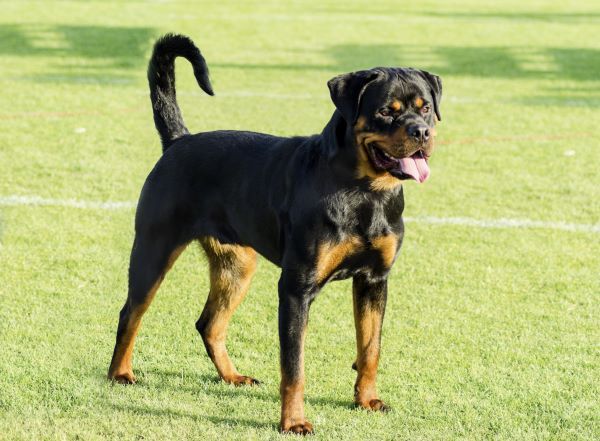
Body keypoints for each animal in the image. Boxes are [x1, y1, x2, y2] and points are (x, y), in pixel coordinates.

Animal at [108, 33, 440, 434]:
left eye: (425, 108)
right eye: (387, 111)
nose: (422, 132)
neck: (363, 191)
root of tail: (178, 141)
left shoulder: (374, 280)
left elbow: (370, 348)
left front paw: (366, 400)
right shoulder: (297, 288)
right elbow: (294, 367)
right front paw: (294, 421)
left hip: (237, 266)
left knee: (209, 324)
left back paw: (232, 377)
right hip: (153, 250)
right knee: (131, 313)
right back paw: (120, 373)